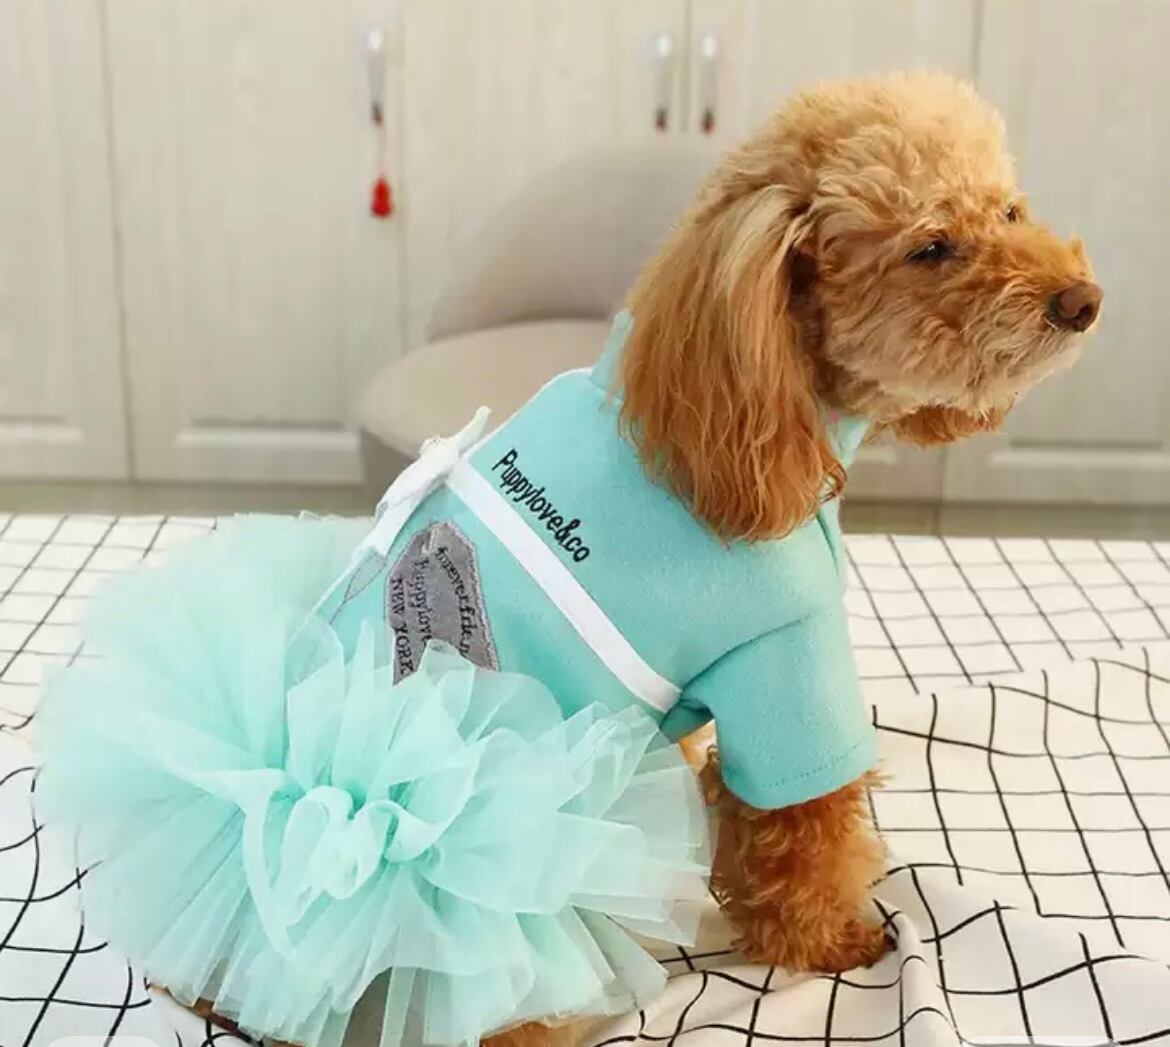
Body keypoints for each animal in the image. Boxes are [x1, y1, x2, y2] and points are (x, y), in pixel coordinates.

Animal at [485, 71, 1099, 1047]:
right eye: (931, 247)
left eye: (1011, 209)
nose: (1082, 299)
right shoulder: (781, 657)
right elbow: (806, 820)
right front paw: (835, 939)